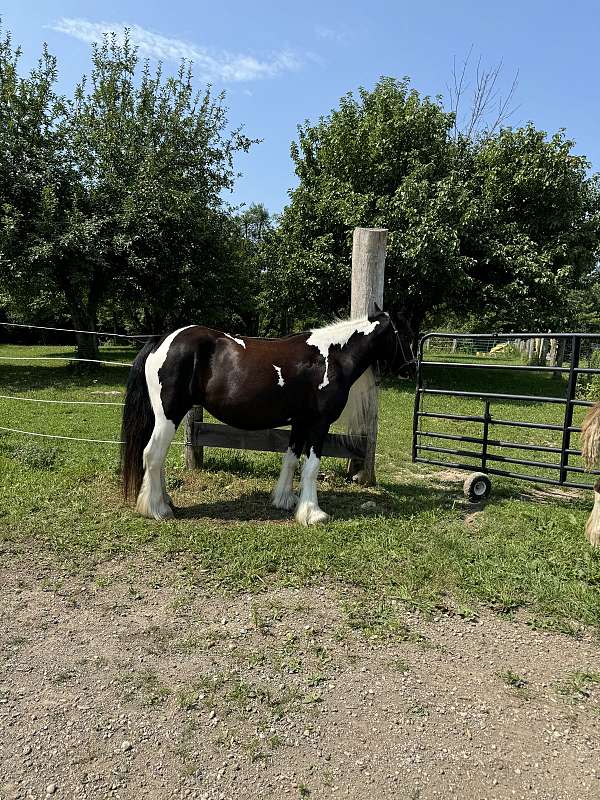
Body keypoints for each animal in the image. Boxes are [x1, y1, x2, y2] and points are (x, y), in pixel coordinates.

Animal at [120, 309, 415, 525]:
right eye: (407, 336)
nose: (411, 369)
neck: (333, 356)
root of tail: (161, 341)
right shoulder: (319, 424)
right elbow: (312, 467)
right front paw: (313, 513)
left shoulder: (300, 422)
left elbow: (291, 460)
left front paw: (285, 500)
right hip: (168, 416)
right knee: (152, 455)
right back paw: (157, 509)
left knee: (157, 458)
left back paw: (164, 500)